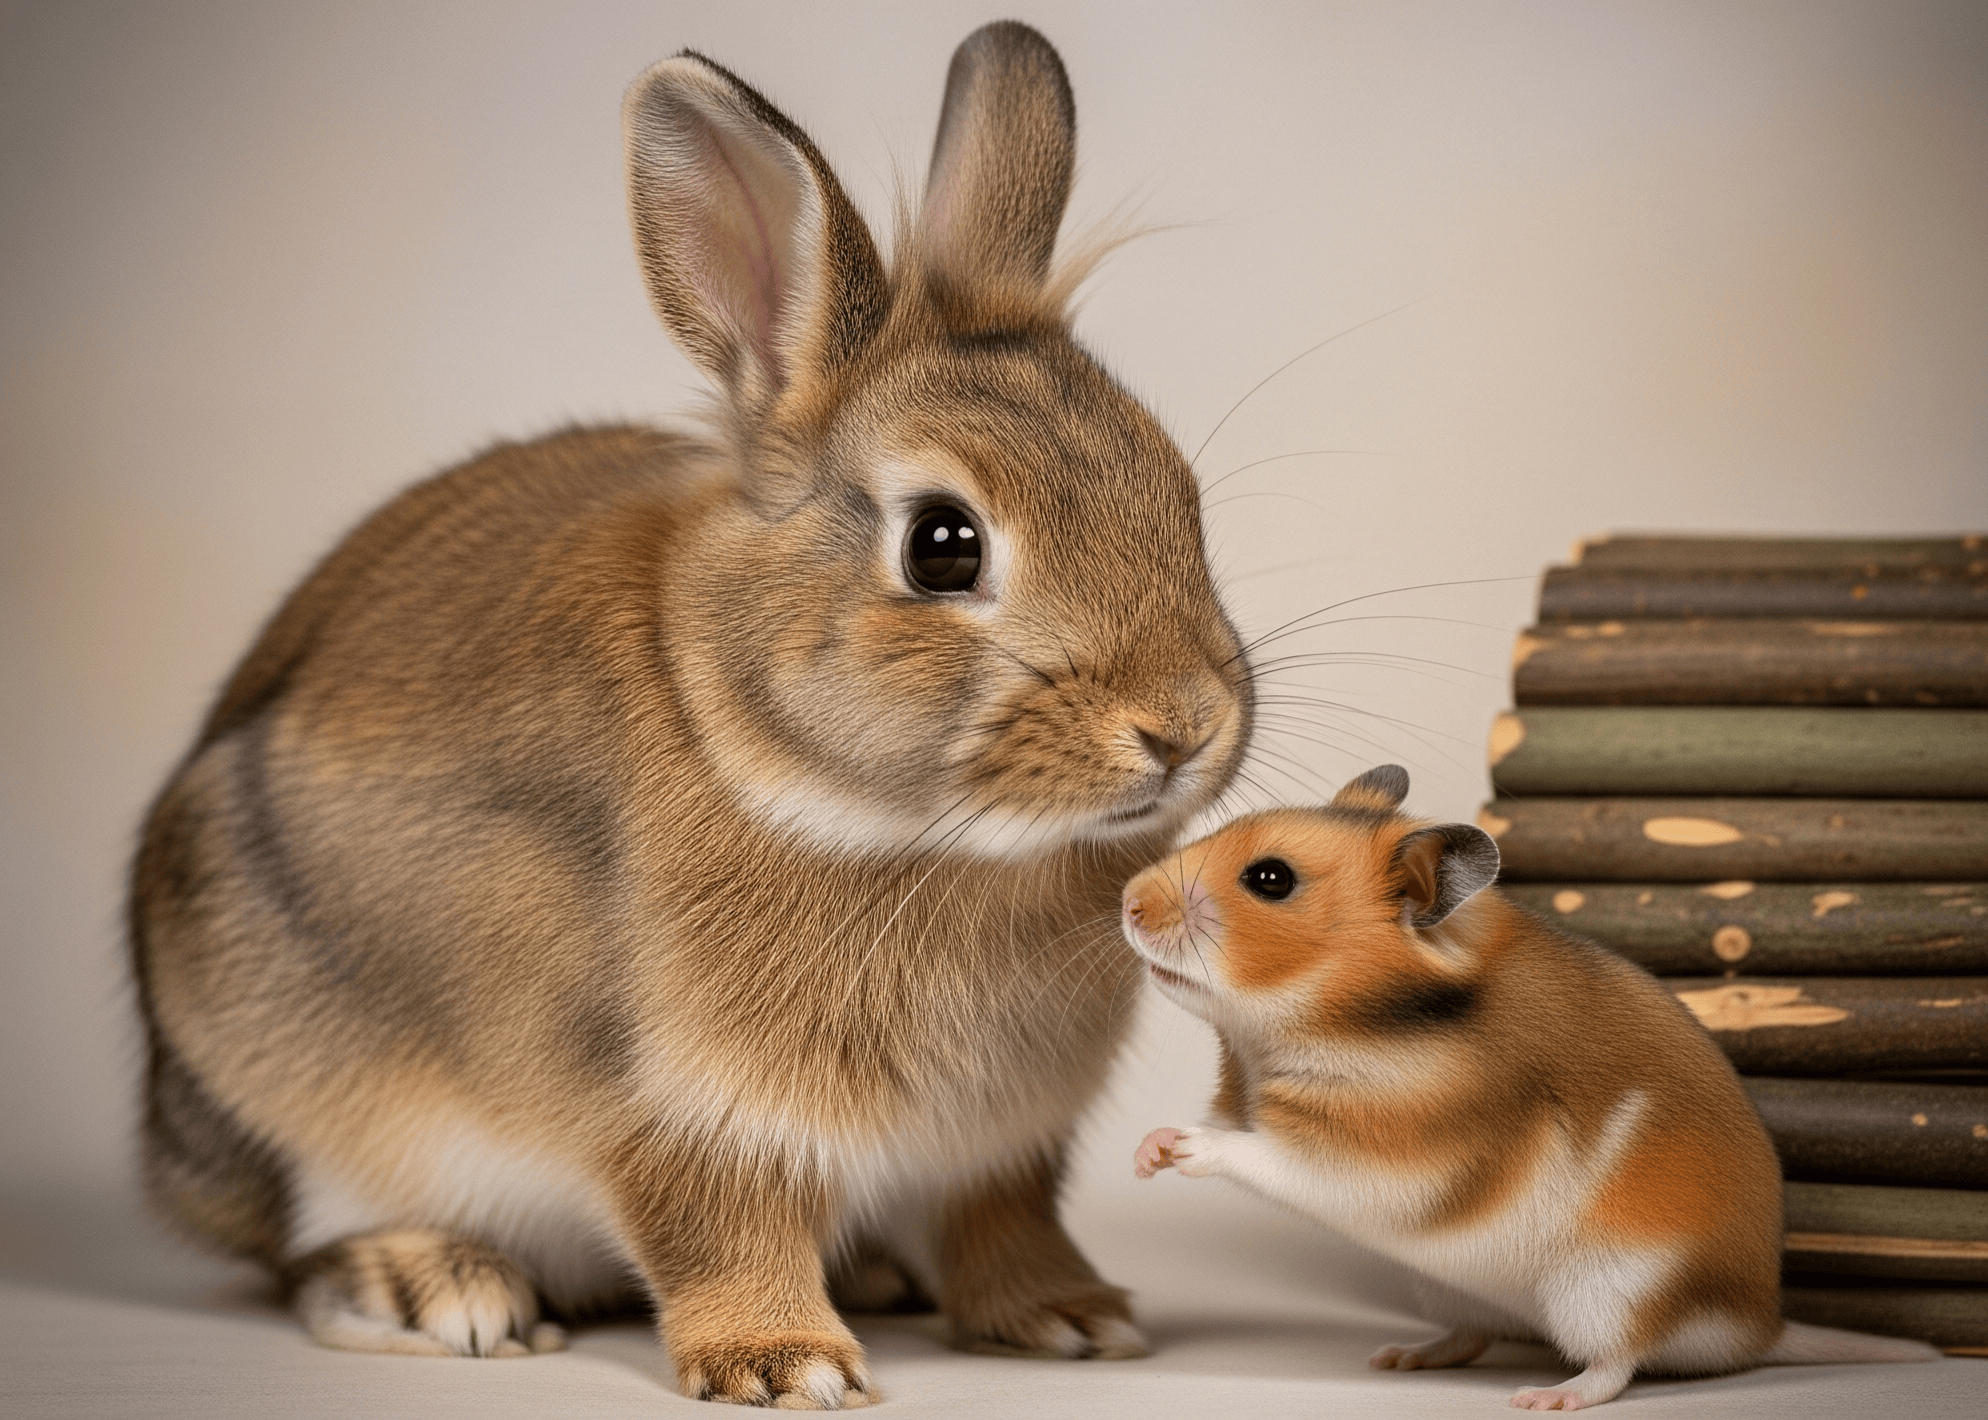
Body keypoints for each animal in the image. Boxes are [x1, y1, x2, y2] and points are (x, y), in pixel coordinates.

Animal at [128, 22, 1254, 1410]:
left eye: (1177, 493)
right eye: (942, 545)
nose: (1184, 726)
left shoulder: (998, 1146)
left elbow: (1003, 1222)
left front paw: (1069, 1319)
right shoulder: (677, 1106)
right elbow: (716, 1225)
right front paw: (784, 1363)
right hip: (280, 1060)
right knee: (308, 1245)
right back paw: (440, 1289)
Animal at [1125, 765, 1938, 1409]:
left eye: (1271, 879)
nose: (1127, 902)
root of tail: (1760, 1327)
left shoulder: (1384, 1158)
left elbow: (1258, 1153)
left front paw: (1175, 1148)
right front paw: (1144, 1153)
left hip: (1610, 1286)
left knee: (1619, 1361)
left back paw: (1546, 1397)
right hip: (1450, 1285)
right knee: (1474, 1333)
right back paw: (1402, 1357)